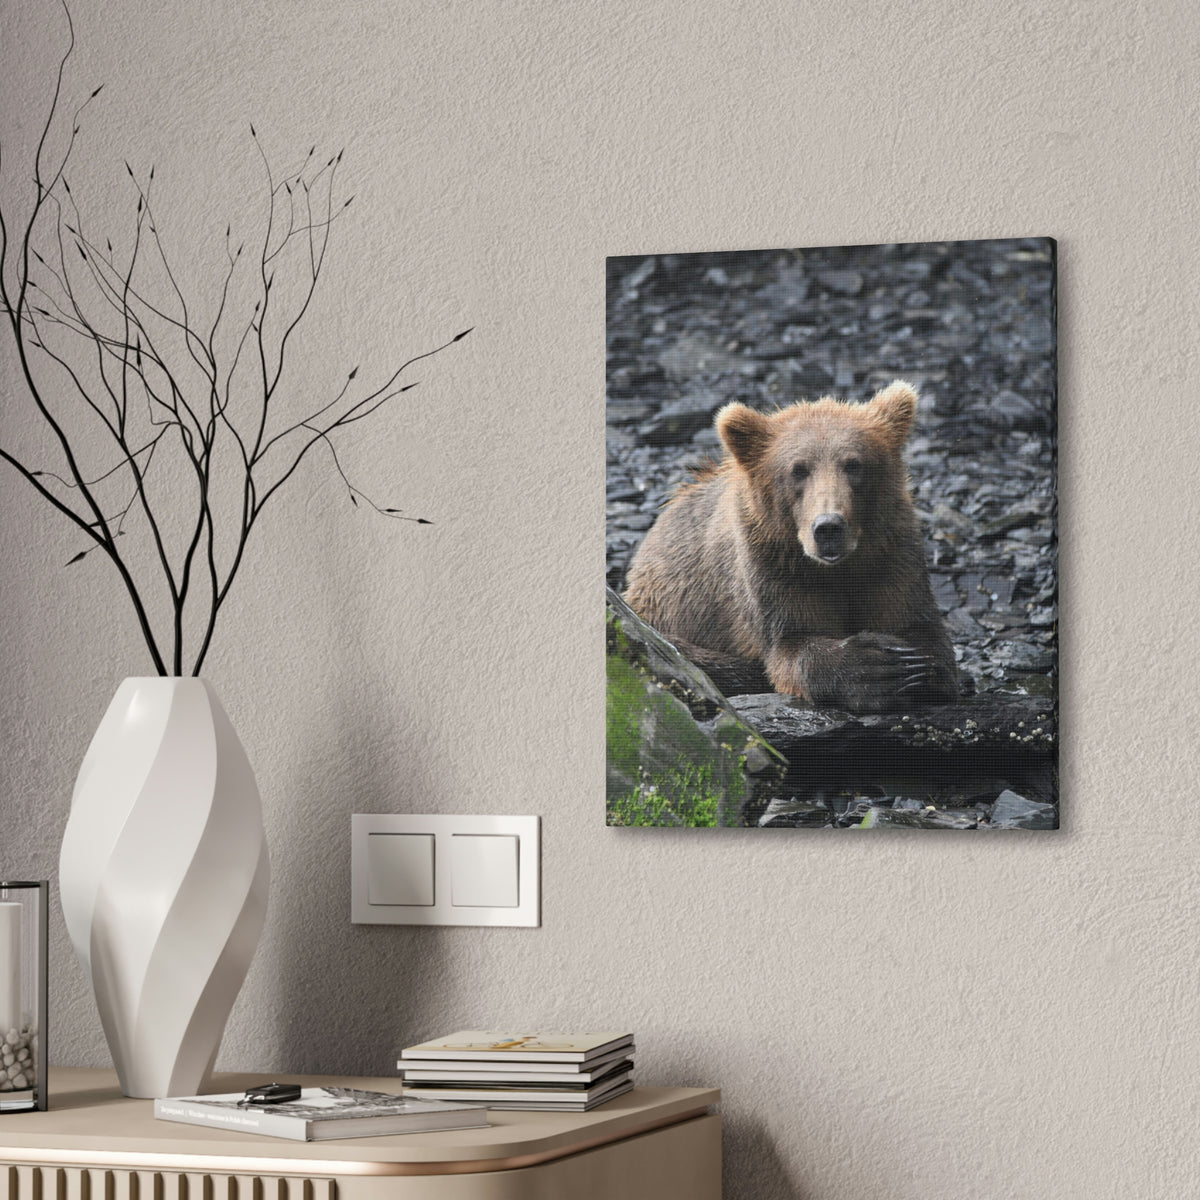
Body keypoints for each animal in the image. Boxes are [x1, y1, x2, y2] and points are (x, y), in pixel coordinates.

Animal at [623, 380, 956, 714]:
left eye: (854, 464)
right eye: (798, 469)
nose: (828, 528)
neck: (837, 568)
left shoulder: (890, 554)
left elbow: (919, 628)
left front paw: (911, 666)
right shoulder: (774, 566)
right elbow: (792, 644)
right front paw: (876, 667)